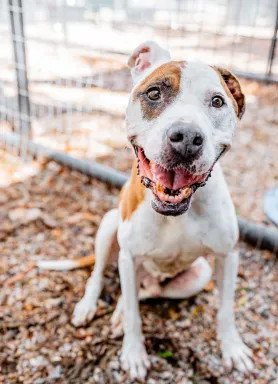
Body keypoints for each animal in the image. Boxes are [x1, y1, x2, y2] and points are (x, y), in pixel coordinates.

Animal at [38, 42, 253, 380]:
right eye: (154, 93)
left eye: (217, 101)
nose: (187, 138)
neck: (178, 211)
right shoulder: (128, 255)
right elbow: (134, 316)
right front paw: (133, 353)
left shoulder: (228, 256)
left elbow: (227, 311)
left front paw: (233, 349)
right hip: (109, 226)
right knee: (101, 277)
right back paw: (90, 306)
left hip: (198, 274)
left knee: (141, 293)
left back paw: (118, 312)